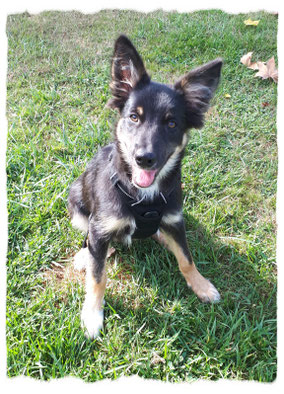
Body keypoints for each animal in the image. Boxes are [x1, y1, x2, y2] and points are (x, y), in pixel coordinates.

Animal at [67, 34, 223, 338]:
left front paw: (201, 286)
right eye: (134, 117)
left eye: (172, 123)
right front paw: (92, 314)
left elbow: (186, 258)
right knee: (92, 244)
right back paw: (85, 255)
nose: (144, 158)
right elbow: (97, 276)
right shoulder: (100, 228)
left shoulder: (175, 220)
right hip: (76, 199)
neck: (143, 196)